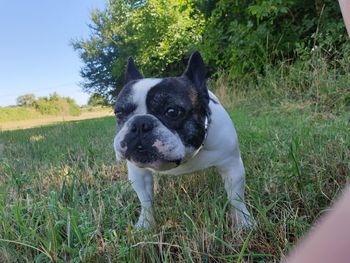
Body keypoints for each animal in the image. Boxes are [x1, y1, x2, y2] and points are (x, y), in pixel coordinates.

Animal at [113, 51, 253, 229]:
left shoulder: (232, 167)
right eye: (119, 113)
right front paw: (145, 224)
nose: (139, 123)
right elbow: (145, 201)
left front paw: (243, 222)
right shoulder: (138, 174)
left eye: (172, 111)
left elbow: (236, 198)